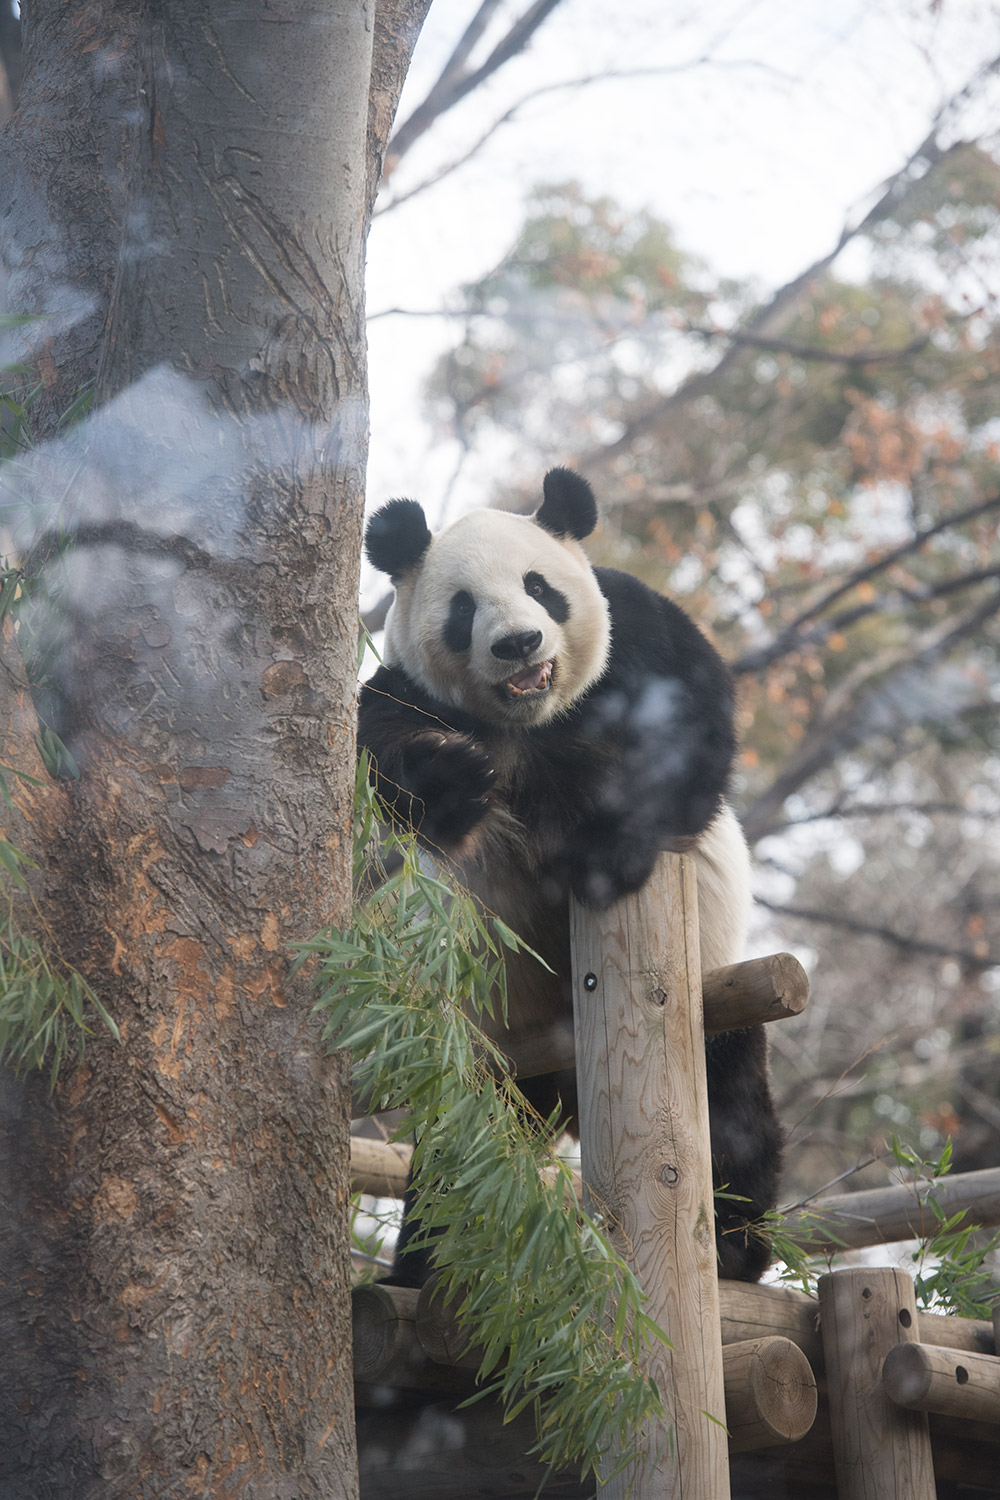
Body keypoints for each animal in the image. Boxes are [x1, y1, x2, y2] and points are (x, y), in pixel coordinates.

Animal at [359, 465, 779, 1278]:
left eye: (540, 586)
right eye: (464, 608)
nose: (519, 642)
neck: (528, 724)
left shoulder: (636, 635)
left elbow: (691, 726)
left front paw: (606, 854)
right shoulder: (406, 691)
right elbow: (379, 761)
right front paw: (458, 780)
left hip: (718, 986)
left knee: (734, 1108)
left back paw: (735, 1249)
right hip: (492, 1053)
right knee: (465, 1155)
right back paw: (427, 1266)